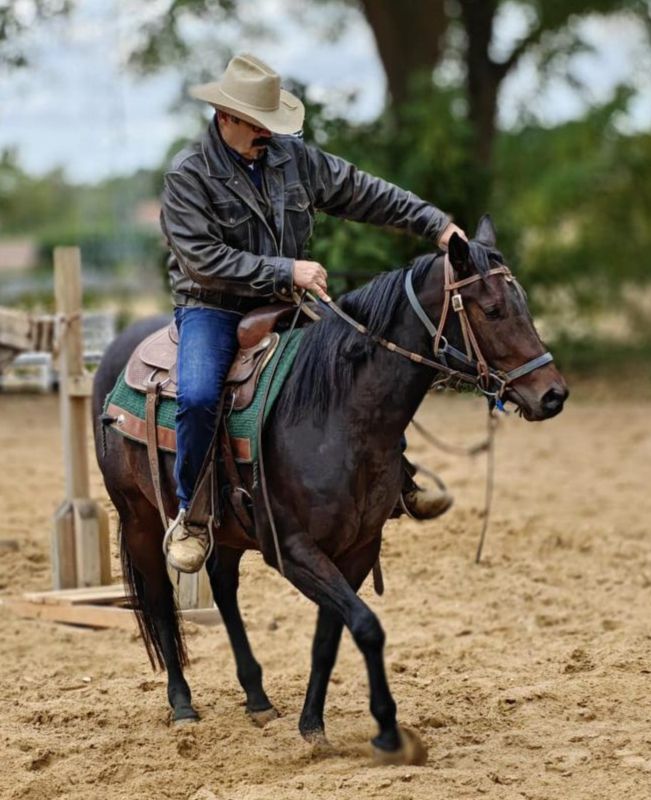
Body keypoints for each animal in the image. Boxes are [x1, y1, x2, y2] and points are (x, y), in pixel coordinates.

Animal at [92, 217, 568, 765]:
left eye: (523, 303)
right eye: (492, 310)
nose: (553, 394)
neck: (335, 412)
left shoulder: (356, 549)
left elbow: (331, 634)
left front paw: (312, 726)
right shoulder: (293, 549)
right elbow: (366, 626)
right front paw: (388, 731)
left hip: (228, 528)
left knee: (224, 586)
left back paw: (257, 698)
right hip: (138, 516)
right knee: (157, 597)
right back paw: (182, 704)